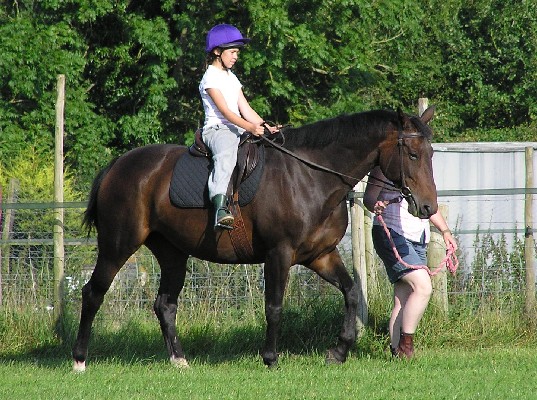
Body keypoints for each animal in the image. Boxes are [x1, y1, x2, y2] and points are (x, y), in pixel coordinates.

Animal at [72, 107, 436, 372]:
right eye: (413, 154)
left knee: (165, 304)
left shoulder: (321, 255)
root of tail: (118, 165)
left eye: (431, 153)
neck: (310, 177)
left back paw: (179, 360)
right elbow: (274, 307)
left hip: (173, 254)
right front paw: (271, 358)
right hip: (117, 246)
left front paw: (339, 351)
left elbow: (351, 292)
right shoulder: (279, 254)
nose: (428, 207)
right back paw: (79, 359)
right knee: (92, 294)